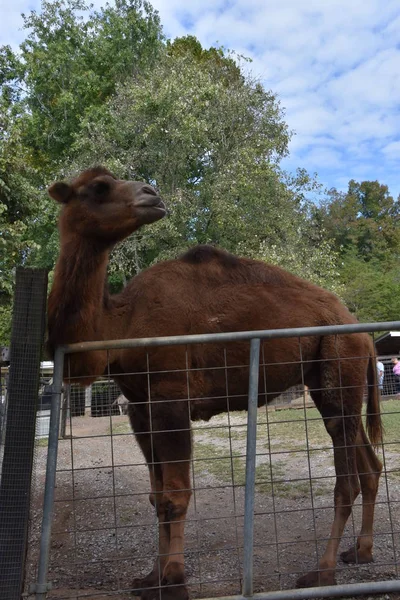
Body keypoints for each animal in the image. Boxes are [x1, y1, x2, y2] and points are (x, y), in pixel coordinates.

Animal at [47, 168, 384, 600]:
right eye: (100, 186)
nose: (152, 194)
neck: (121, 323)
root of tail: (362, 332)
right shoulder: (140, 407)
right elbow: (156, 495)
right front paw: (150, 579)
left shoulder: (171, 397)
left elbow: (175, 496)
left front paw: (174, 582)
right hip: (332, 384)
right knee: (368, 464)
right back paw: (360, 552)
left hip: (338, 363)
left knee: (346, 482)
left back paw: (321, 573)